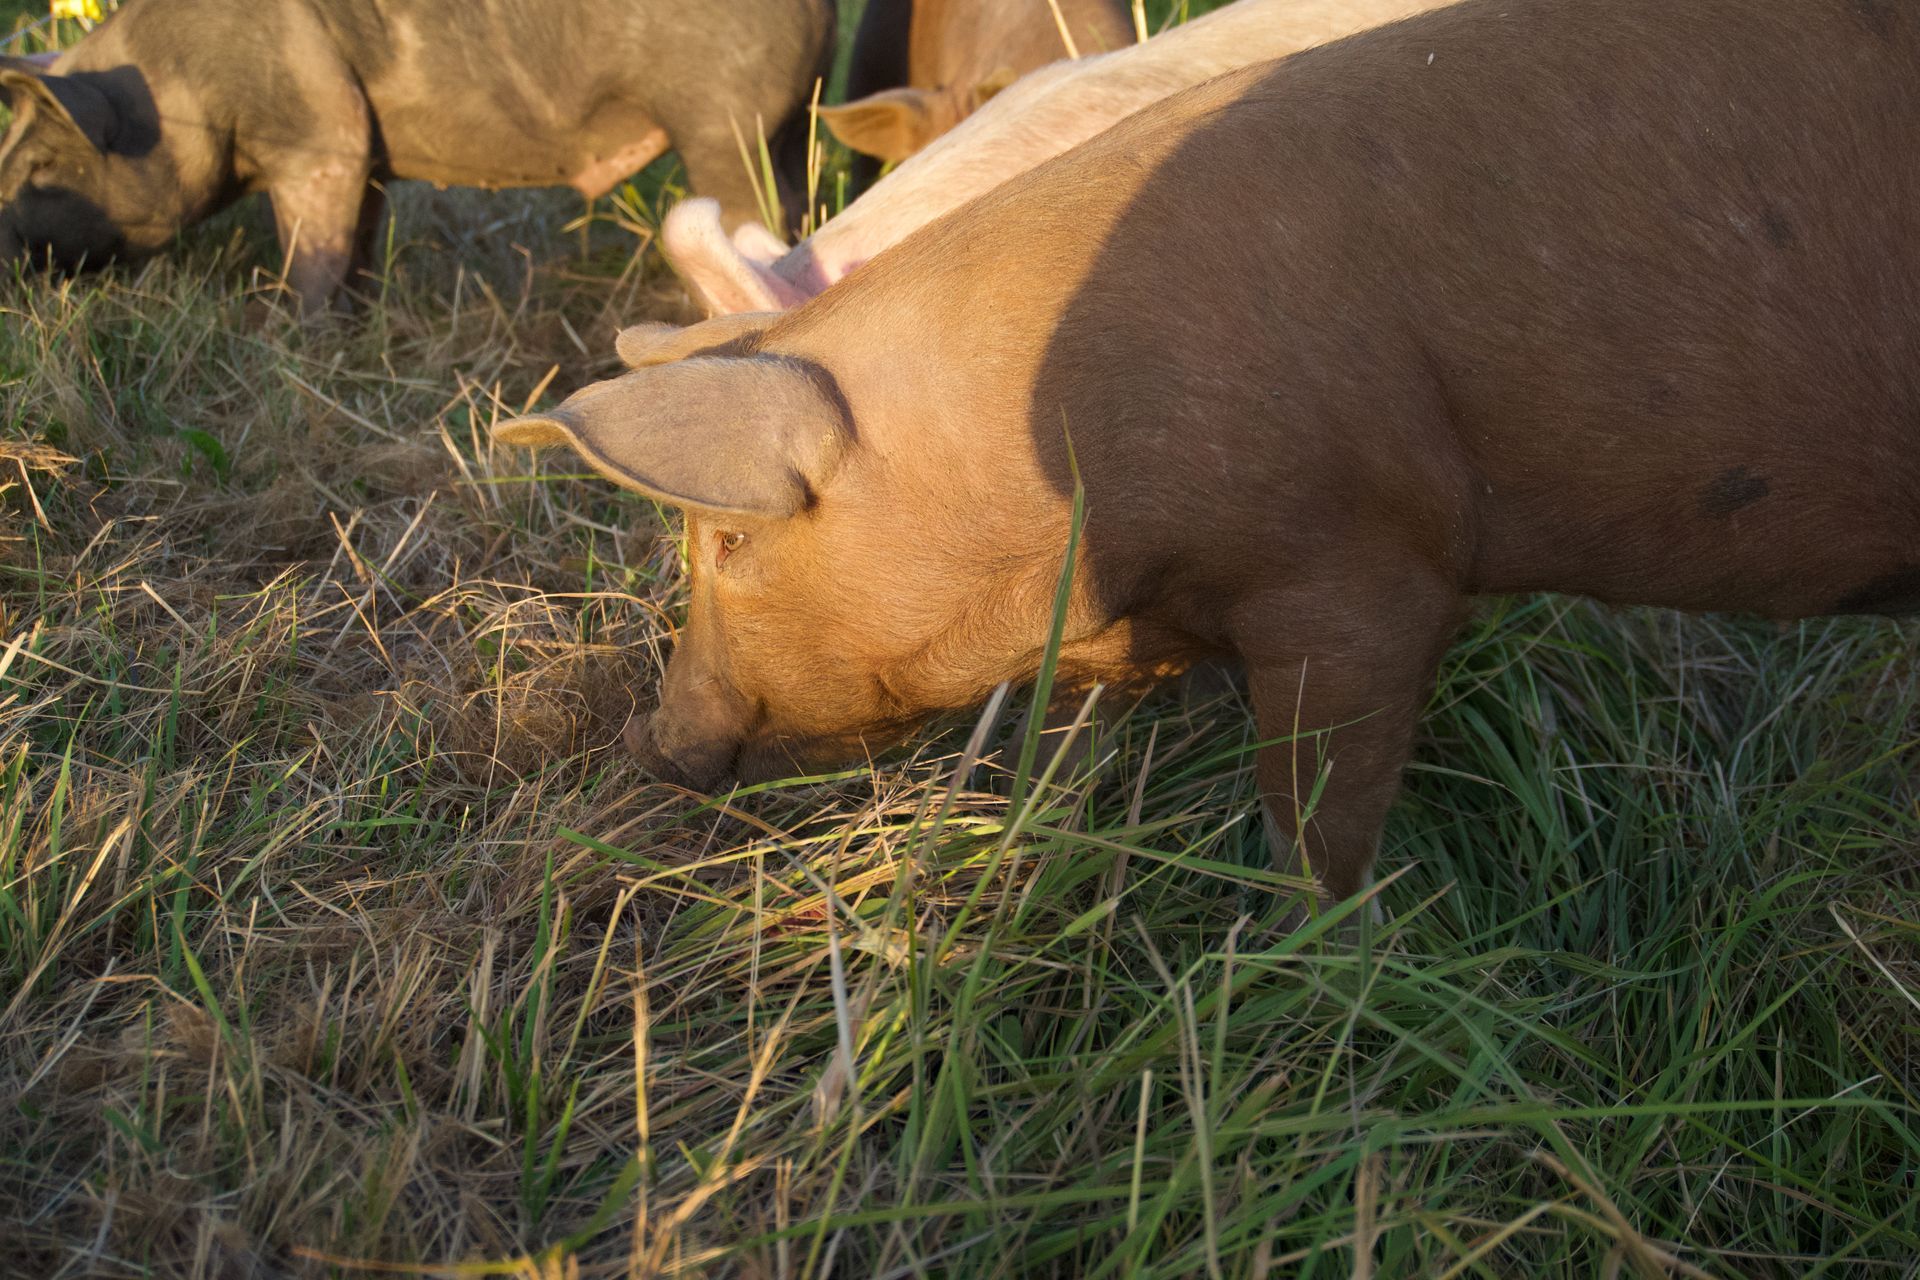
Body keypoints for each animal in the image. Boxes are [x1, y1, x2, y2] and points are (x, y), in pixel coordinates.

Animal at [0, 0, 835, 314]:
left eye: (43, 168)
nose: (5, 235)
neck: (173, 82)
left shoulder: (318, 137)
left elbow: (310, 252)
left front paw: (295, 331)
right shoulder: (362, 155)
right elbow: (357, 240)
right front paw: (358, 318)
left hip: (723, 125)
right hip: (785, 128)